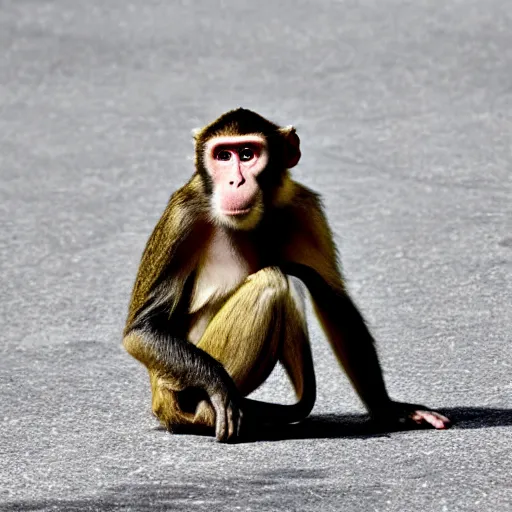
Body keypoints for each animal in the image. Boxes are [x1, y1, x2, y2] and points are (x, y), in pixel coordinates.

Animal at [122, 109, 450, 444]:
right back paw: (207, 410)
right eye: (223, 156)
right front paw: (218, 385)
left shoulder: (303, 207)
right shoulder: (182, 214)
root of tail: (159, 399)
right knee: (271, 283)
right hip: (173, 389)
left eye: (247, 154)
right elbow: (142, 330)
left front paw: (387, 408)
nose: (235, 181)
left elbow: (335, 302)